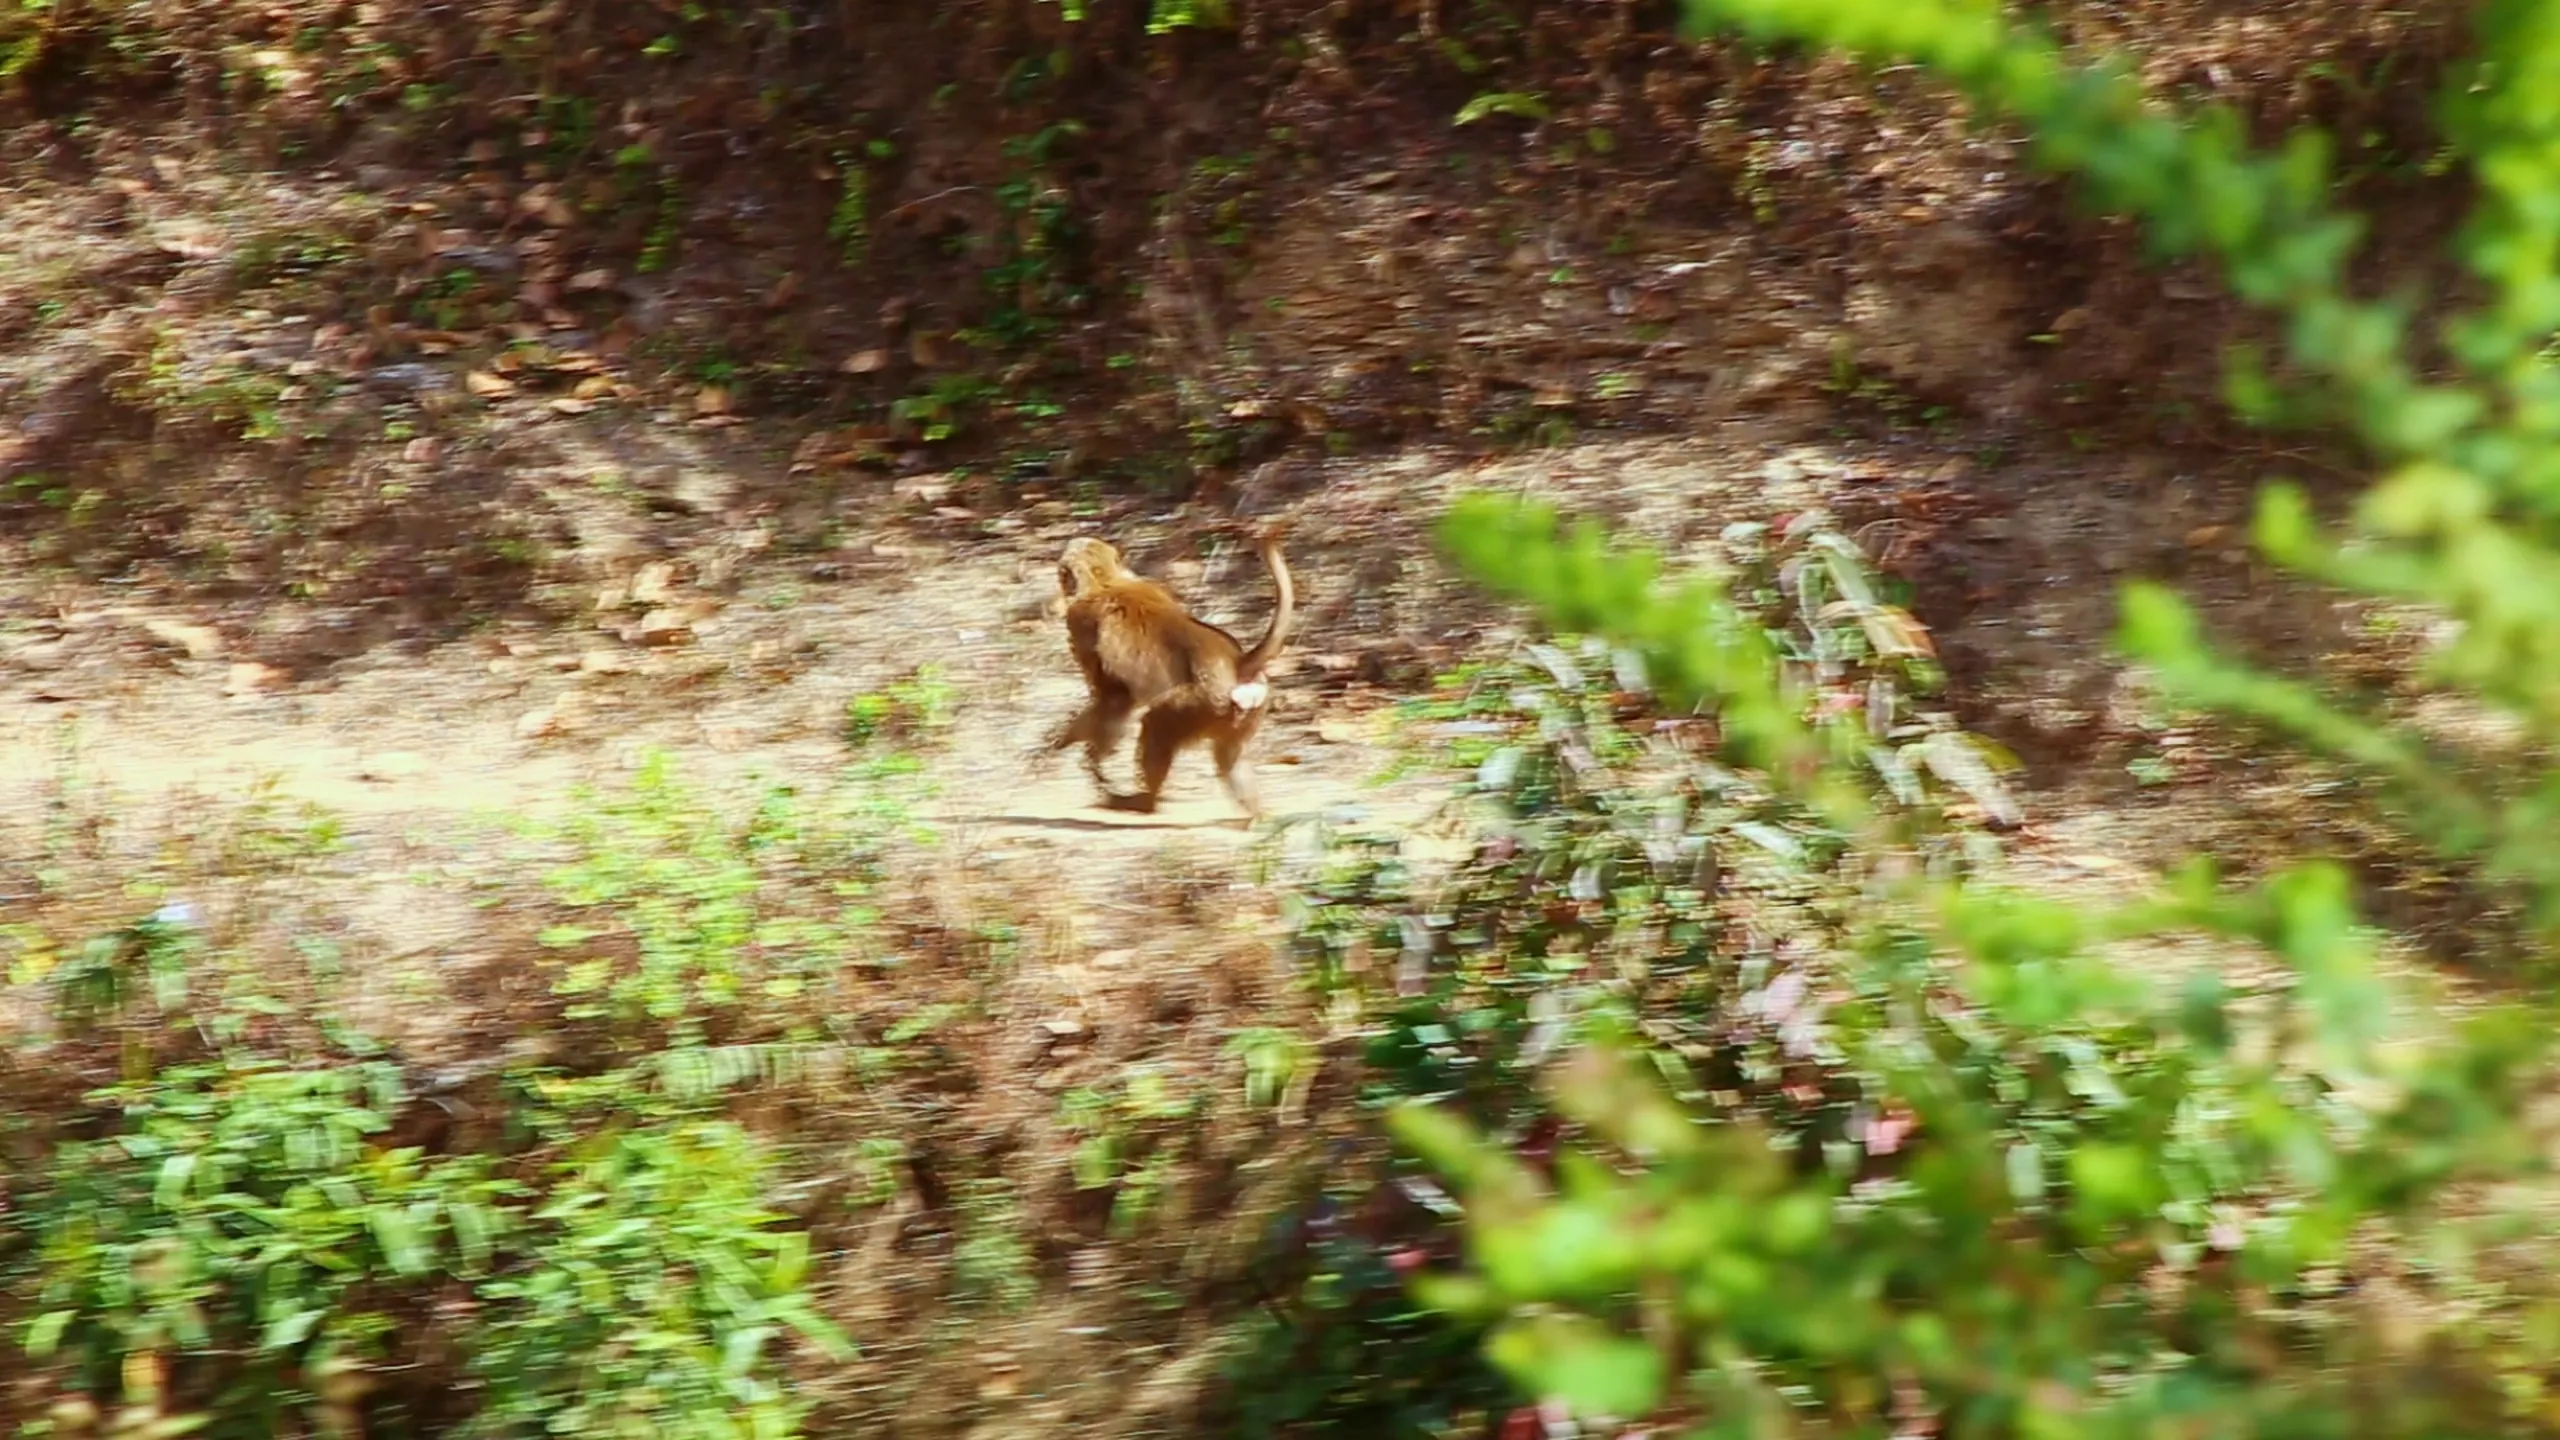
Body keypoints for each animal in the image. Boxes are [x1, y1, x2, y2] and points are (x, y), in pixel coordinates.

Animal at [1045, 527, 1295, 818]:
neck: (1106, 581)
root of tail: (1237, 661)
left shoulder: (1081, 622)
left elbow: (1114, 699)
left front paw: (1080, 747)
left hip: (1203, 701)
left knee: (1156, 724)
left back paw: (1143, 802)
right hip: (1242, 708)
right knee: (1229, 757)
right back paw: (1257, 815)